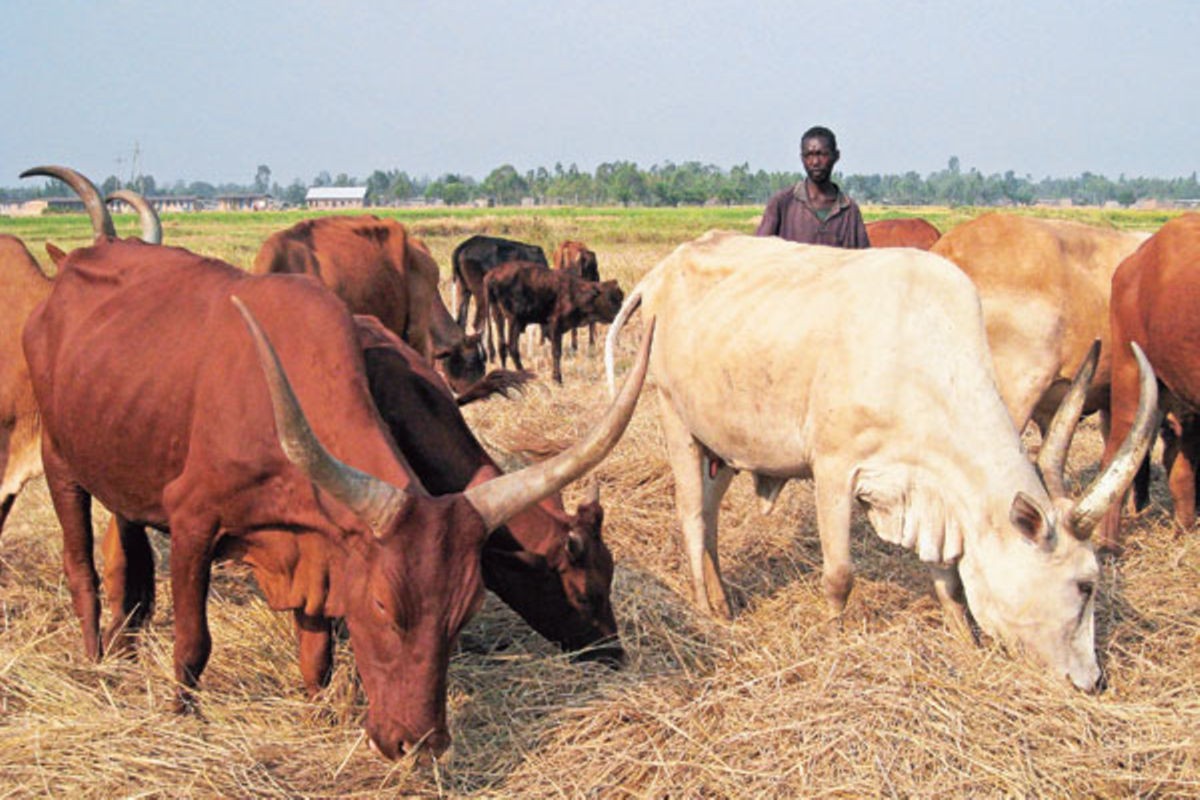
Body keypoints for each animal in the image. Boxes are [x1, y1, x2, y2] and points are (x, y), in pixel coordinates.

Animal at [482, 260, 624, 383]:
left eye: (620, 297)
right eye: (611, 298)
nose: (622, 316)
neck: (575, 292)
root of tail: (492, 274)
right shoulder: (555, 325)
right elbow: (556, 352)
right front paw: (557, 379)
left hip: (498, 316)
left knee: (501, 346)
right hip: (514, 320)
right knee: (512, 347)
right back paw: (523, 374)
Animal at [604, 230, 1156, 690]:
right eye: (1085, 585)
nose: (1094, 681)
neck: (919, 361)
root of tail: (661, 271)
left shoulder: (934, 493)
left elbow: (949, 581)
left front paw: (965, 638)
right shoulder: (833, 468)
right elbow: (839, 574)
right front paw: (834, 636)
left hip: (722, 442)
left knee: (712, 512)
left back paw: (724, 599)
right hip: (675, 416)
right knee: (693, 514)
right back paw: (704, 604)